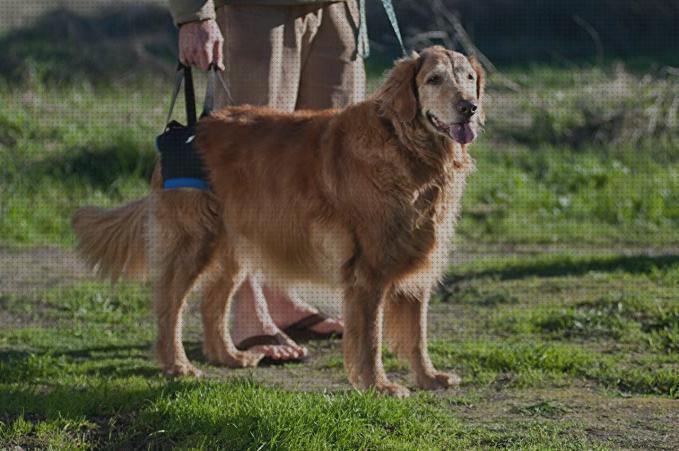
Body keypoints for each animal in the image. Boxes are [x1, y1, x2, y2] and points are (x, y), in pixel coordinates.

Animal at [73, 46, 484, 398]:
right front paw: (377, 385)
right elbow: (370, 339)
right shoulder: (368, 272)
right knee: (168, 306)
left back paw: (229, 356)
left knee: (212, 304)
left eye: (468, 77)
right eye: (434, 79)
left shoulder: (415, 260)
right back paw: (177, 365)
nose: (469, 107)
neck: (405, 145)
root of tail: (183, 131)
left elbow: (417, 334)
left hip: (236, 245)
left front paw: (429, 377)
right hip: (193, 243)